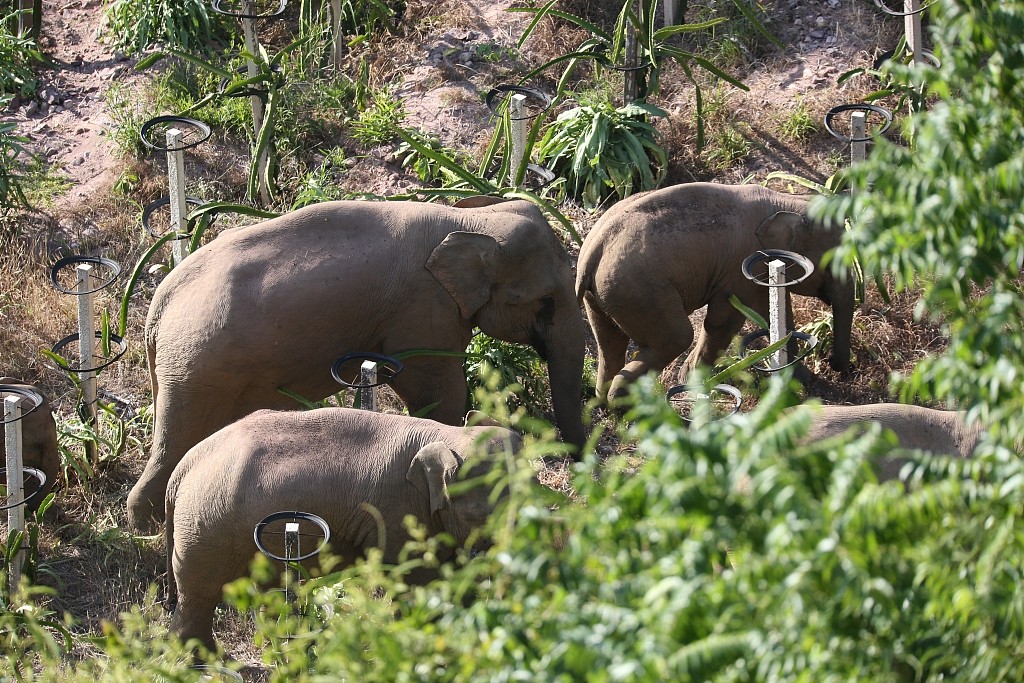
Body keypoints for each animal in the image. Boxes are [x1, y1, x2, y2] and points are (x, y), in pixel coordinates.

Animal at [128, 198, 589, 532]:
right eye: (544, 302)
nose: (582, 474)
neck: (467, 218)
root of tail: (159, 303)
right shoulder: (423, 310)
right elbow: (439, 389)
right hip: (198, 366)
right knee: (177, 437)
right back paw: (147, 529)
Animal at [166, 405, 520, 651]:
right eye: (480, 516)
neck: (444, 433)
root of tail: (184, 466)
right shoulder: (395, 511)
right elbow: (416, 578)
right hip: (205, 524)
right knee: (200, 590)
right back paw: (204, 661)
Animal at [577, 183, 856, 405]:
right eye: (832, 264)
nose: (834, 364)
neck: (784, 201)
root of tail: (594, 248)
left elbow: (778, 310)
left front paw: (803, 381)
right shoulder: (740, 269)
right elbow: (724, 321)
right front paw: (692, 380)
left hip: (606, 295)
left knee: (609, 341)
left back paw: (603, 402)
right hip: (640, 292)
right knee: (677, 337)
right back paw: (627, 408)